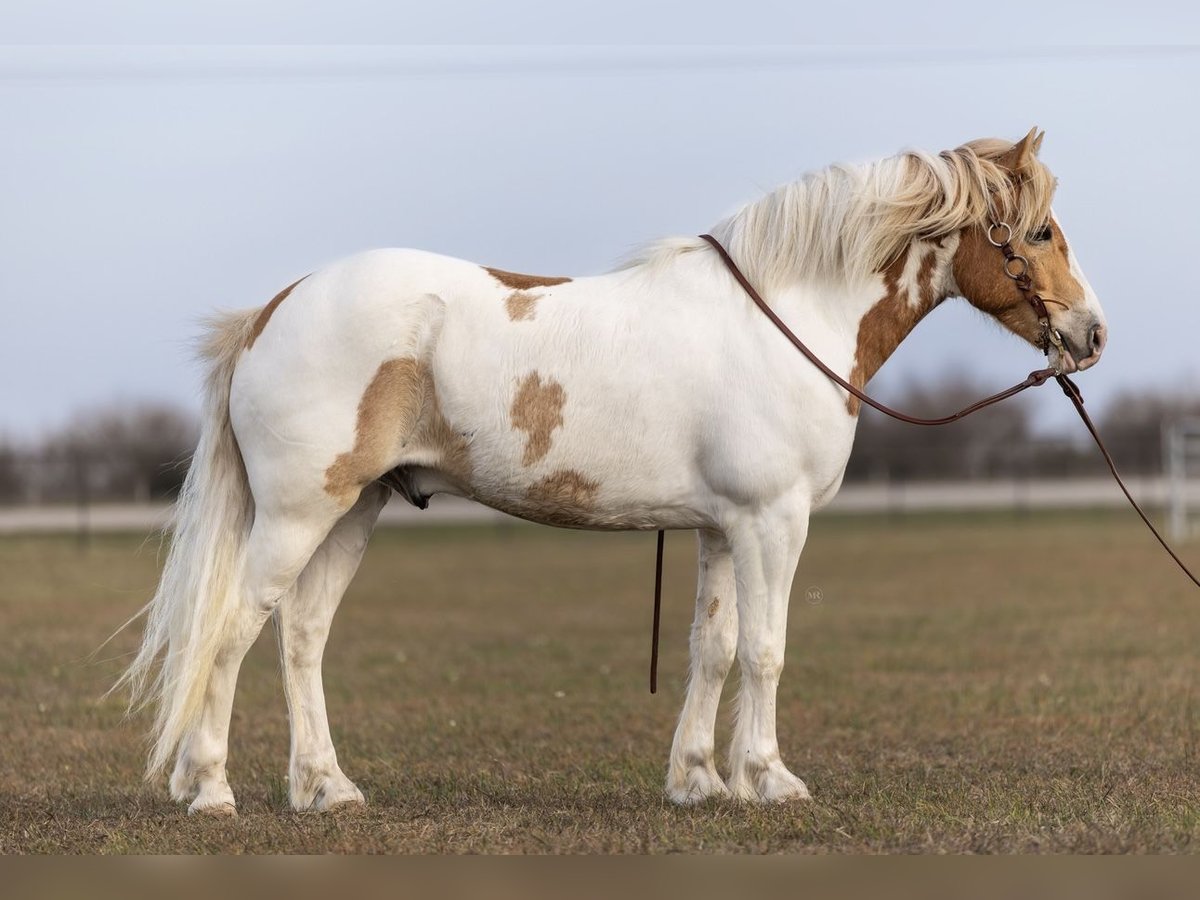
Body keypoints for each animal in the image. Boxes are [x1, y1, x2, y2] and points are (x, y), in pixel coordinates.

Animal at [116, 127, 1107, 815]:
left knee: (302, 637)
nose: (1092, 335)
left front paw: (699, 781)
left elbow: (714, 646)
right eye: (1039, 231)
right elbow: (767, 648)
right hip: (298, 511)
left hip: (354, 510)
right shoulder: (773, 520)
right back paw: (211, 789)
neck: (791, 313)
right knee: (232, 630)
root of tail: (276, 308)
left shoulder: (722, 526)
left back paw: (327, 789)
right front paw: (769, 778)